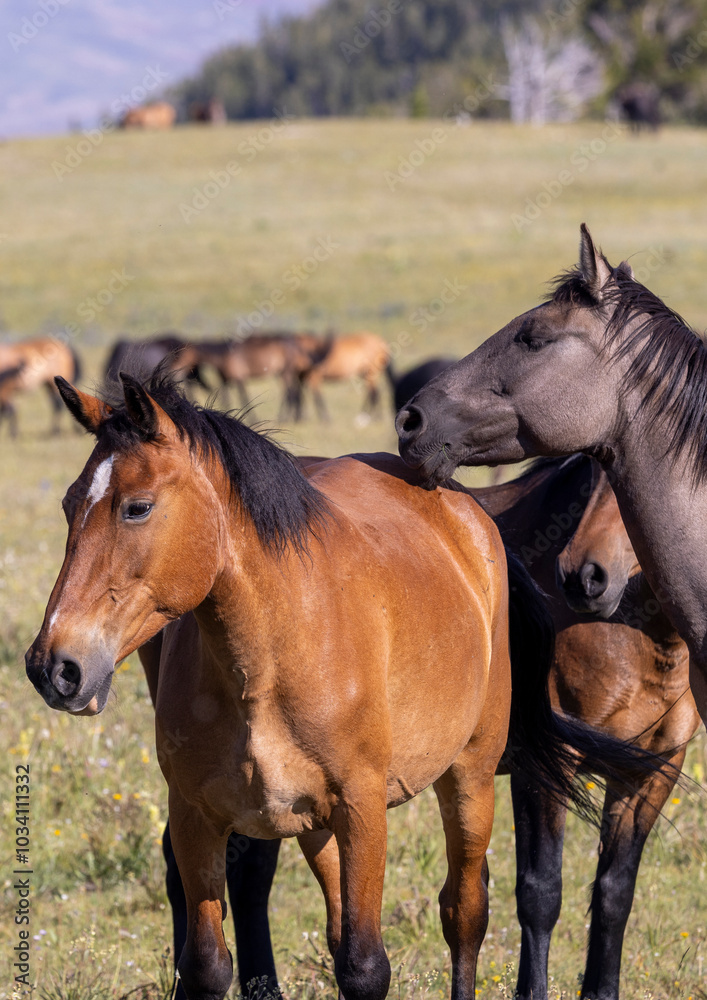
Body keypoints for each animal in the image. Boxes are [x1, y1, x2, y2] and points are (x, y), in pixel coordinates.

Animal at [25, 376, 663, 1000]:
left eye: (137, 508)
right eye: (68, 505)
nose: (54, 666)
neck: (268, 657)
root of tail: (468, 512)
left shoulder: (363, 808)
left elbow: (364, 967)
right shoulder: (196, 815)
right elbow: (208, 964)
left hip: (470, 777)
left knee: (464, 913)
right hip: (315, 824)